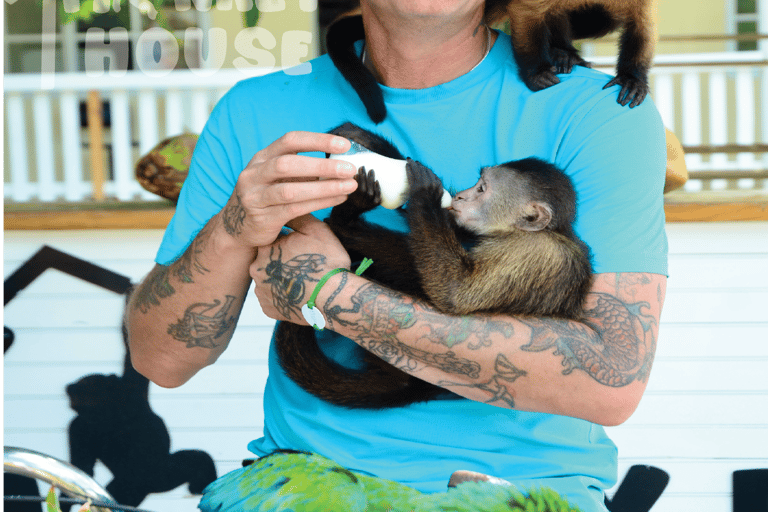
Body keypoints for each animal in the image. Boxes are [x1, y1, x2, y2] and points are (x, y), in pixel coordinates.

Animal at [272, 123, 593, 409]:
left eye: (482, 189)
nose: (461, 196)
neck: (540, 232)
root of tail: (412, 385)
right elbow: (453, 226)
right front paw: (366, 142)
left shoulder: (531, 252)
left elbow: (455, 293)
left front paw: (424, 190)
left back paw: (345, 222)